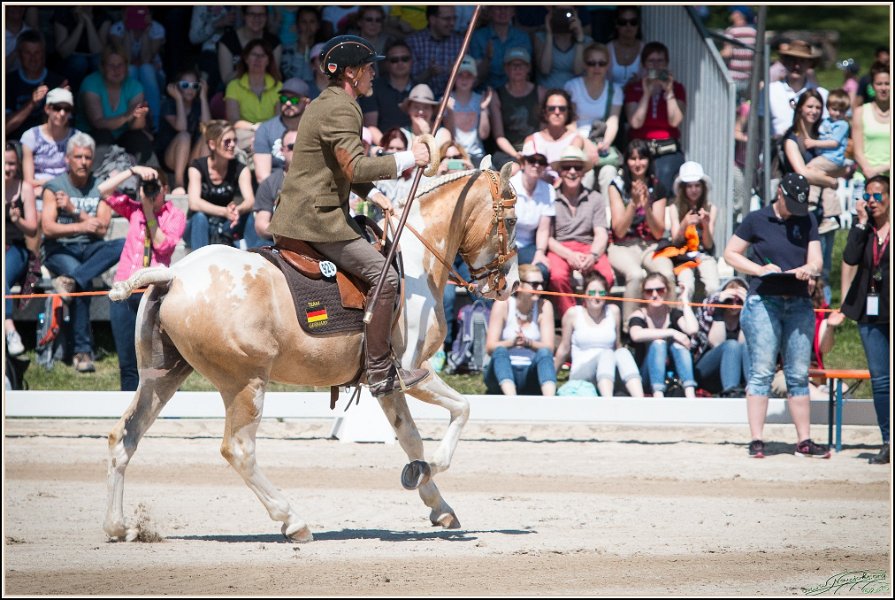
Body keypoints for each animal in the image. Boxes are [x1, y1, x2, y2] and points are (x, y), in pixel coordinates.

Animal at [103, 162, 520, 543]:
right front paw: (429, 468)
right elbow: (462, 410)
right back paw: (293, 521)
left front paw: (436, 502)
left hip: (163, 376)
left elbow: (410, 438)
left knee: (125, 436)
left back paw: (118, 526)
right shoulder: (415, 371)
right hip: (245, 383)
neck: (416, 260)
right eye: (514, 221)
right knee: (239, 450)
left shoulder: (386, 381)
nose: (510, 285)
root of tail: (173, 276)